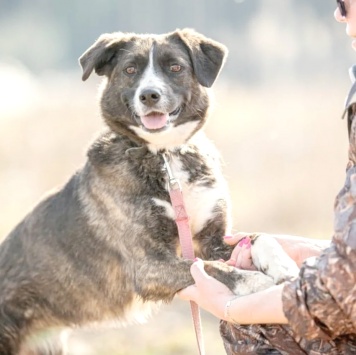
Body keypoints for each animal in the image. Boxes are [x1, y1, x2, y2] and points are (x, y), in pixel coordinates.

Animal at [0, 29, 298, 354]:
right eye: (130, 69)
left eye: (175, 67)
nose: (149, 95)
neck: (165, 155)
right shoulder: (150, 266)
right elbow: (209, 267)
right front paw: (254, 282)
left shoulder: (213, 239)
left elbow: (258, 238)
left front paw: (282, 263)